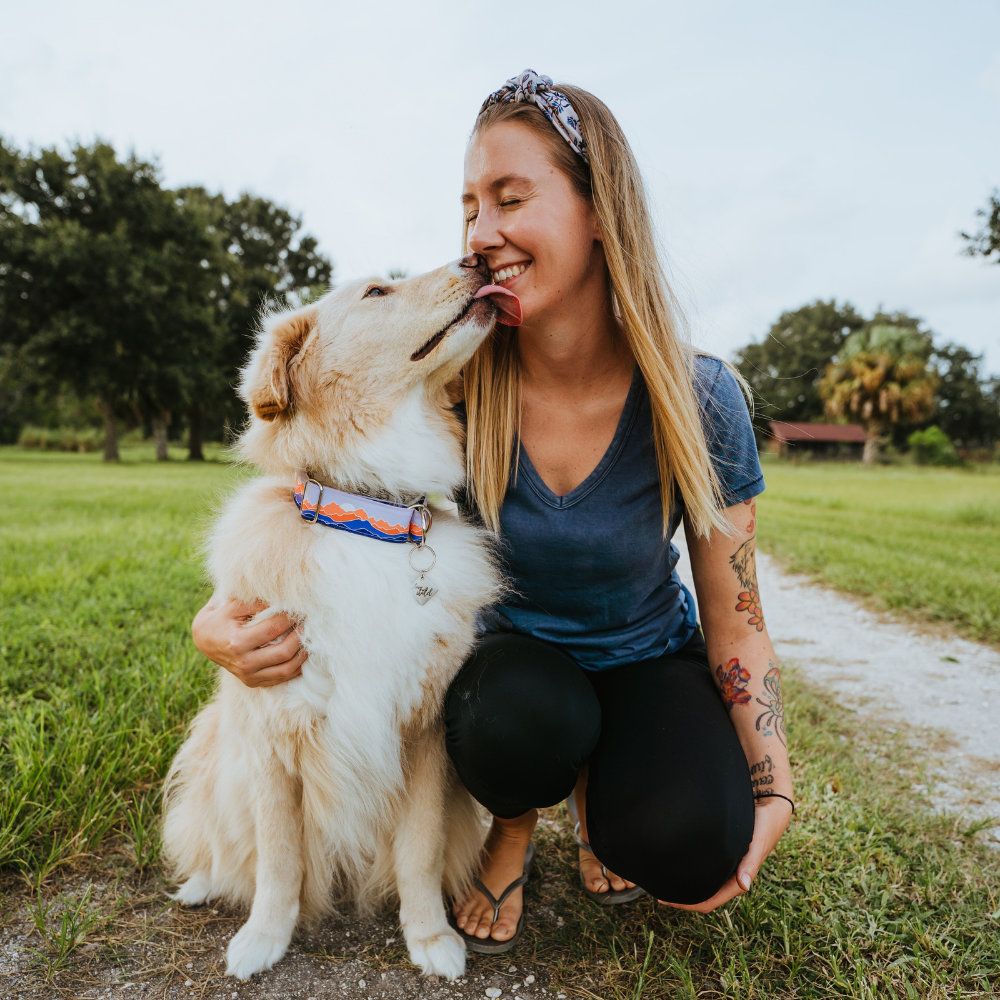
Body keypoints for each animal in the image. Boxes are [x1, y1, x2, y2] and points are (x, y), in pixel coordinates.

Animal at [162, 254, 516, 980]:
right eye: (377, 291)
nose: (479, 259)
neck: (365, 516)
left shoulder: (425, 730)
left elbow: (419, 850)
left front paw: (429, 937)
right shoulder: (272, 733)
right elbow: (277, 858)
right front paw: (264, 938)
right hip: (216, 744)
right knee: (214, 837)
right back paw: (204, 884)